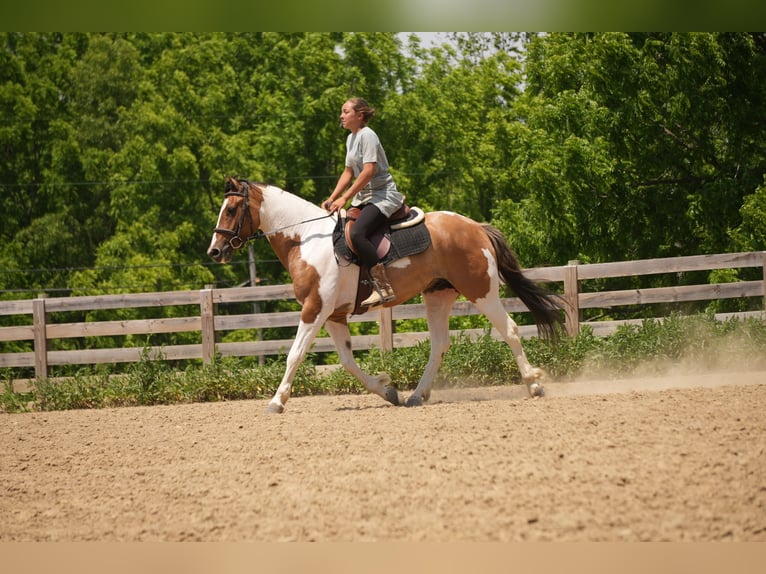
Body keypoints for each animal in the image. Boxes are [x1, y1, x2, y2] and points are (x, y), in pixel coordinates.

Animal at [207, 176, 562, 413]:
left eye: (232, 209)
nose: (215, 251)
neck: (306, 238)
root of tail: (475, 227)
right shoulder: (333, 315)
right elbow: (347, 362)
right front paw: (388, 391)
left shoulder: (314, 309)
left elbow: (295, 354)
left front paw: (277, 401)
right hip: (438, 296)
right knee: (439, 344)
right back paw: (416, 396)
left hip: (481, 290)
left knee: (510, 329)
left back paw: (534, 384)